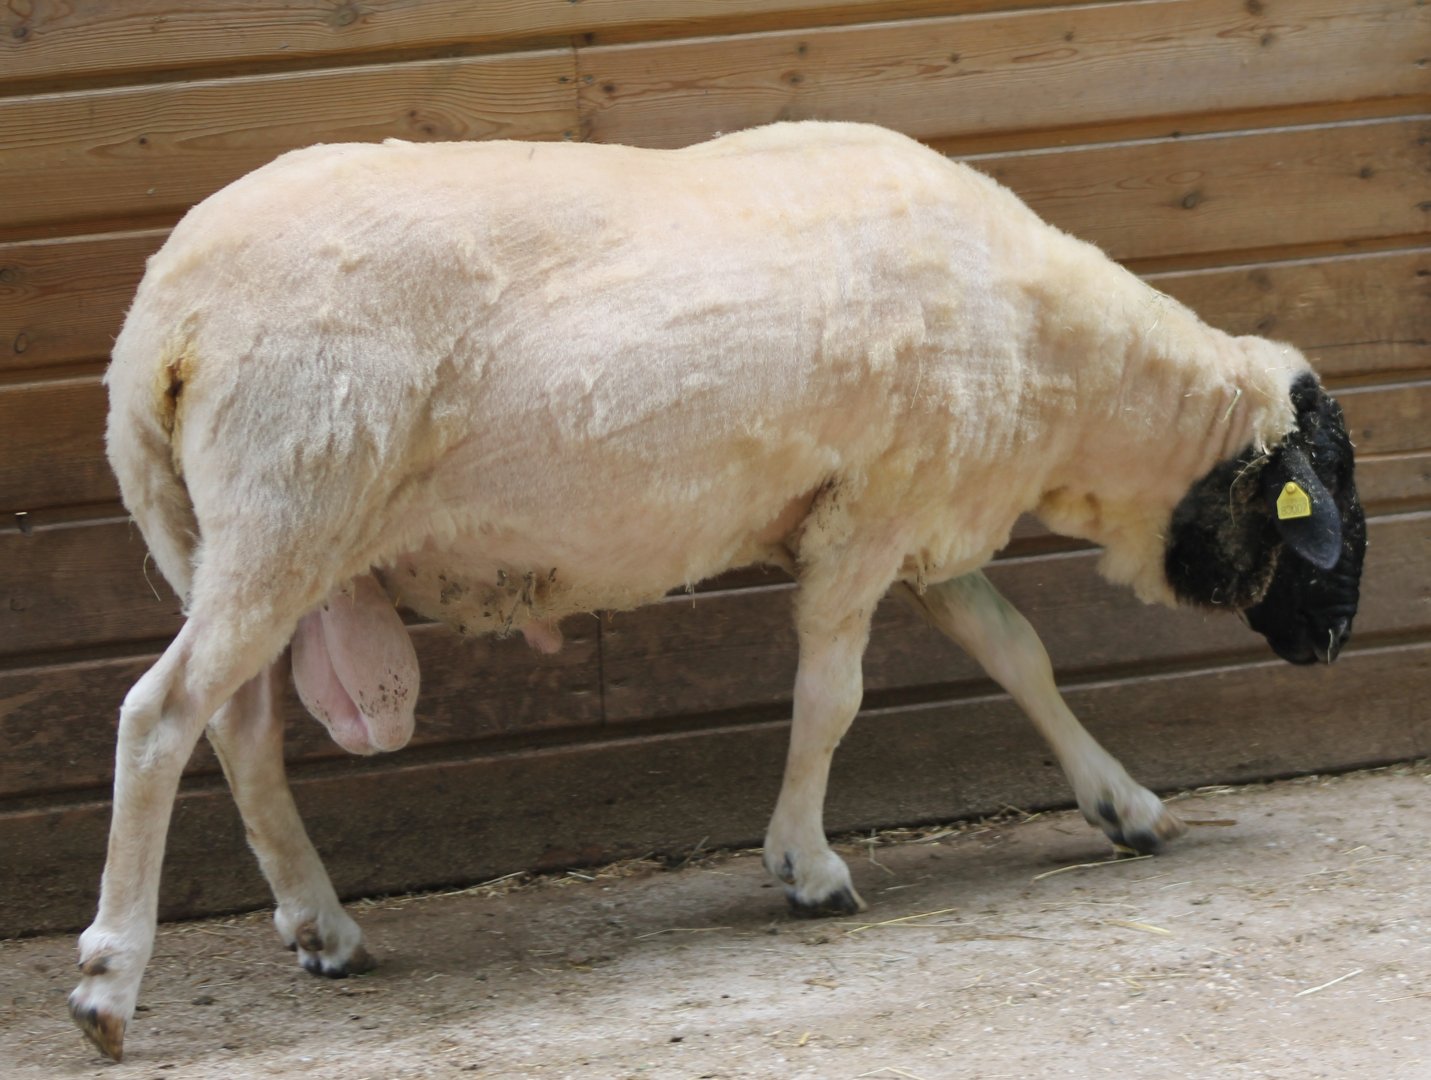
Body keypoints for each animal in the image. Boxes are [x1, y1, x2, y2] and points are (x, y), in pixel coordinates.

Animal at [71, 121, 1365, 1060]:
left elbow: (1019, 655)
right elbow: (831, 699)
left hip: (216, 534)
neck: (1074, 376)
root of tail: (161, 322)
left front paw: (1126, 805)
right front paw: (808, 868)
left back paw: (323, 929)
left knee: (238, 730)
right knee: (158, 718)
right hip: (286, 506)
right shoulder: (870, 513)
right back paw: (108, 984)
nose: (1338, 641)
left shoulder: (921, 522)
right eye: (1322, 496)